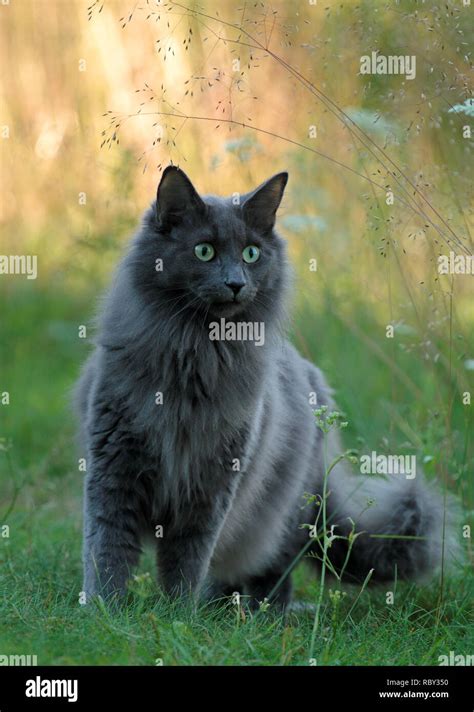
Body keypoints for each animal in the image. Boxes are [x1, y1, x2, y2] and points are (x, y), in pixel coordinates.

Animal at [76, 165, 458, 608]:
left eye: (251, 254)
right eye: (203, 251)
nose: (235, 283)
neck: (195, 356)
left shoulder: (212, 486)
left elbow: (186, 560)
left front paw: (176, 612)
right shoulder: (113, 466)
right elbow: (107, 550)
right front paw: (105, 610)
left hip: (282, 514)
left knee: (271, 572)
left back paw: (256, 613)